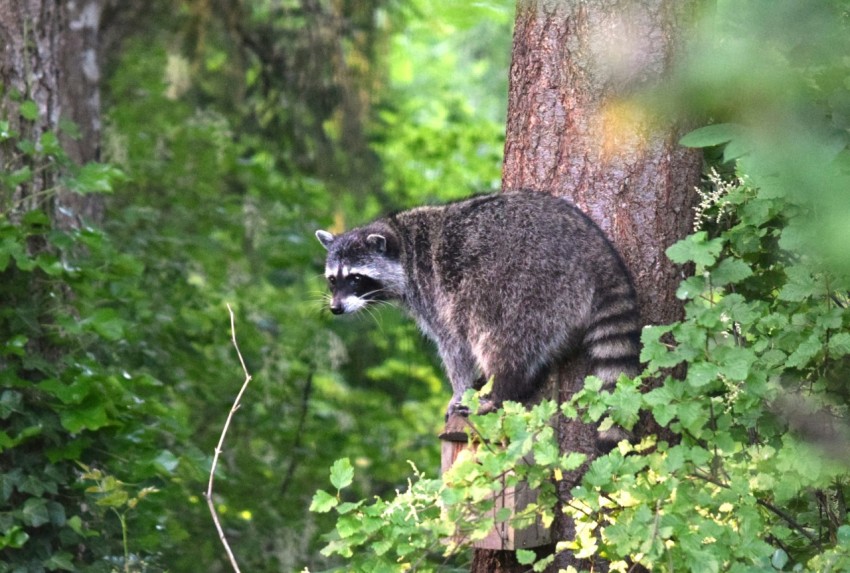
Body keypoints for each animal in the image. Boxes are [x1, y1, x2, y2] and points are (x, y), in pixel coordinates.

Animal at [316, 191, 641, 424]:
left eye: (356, 279)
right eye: (333, 280)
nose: (335, 308)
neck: (403, 242)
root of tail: (596, 253)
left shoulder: (435, 293)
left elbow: (455, 347)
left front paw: (459, 391)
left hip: (528, 288)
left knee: (499, 339)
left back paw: (501, 390)